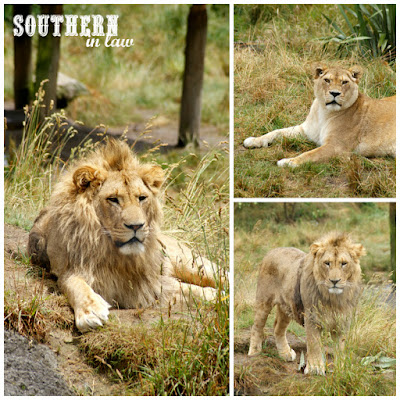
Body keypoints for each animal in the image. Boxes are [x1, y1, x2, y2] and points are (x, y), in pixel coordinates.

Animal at [28, 139, 222, 332]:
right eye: (113, 199)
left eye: (142, 198)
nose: (136, 226)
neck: (114, 255)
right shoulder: (68, 267)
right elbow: (73, 282)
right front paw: (90, 311)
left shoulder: (150, 283)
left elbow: (193, 290)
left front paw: (218, 296)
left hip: (190, 263)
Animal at [242, 65, 396, 166]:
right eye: (327, 80)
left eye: (344, 82)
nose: (335, 93)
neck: (324, 112)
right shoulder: (305, 130)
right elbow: (277, 132)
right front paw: (254, 140)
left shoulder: (337, 147)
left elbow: (310, 154)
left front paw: (288, 162)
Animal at [248, 231, 368, 376]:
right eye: (327, 263)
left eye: (344, 263)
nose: (334, 281)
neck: (333, 298)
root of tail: (272, 250)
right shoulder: (311, 317)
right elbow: (314, 343)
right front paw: (315, 368)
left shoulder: (343, 321)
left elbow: (341, 346)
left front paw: (342, 367)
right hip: (264, 300)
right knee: (257, 326)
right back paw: (254, 352)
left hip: (287, 306)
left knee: (277, 328)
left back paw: (285, 354)